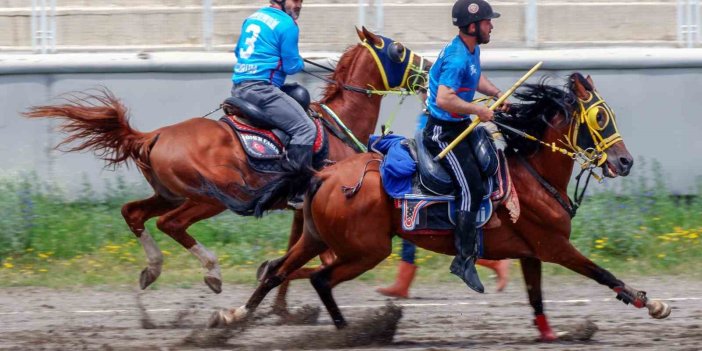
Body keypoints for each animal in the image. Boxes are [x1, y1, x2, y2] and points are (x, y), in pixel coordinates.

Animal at [23, 27, 428, 296]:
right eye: (398, 49)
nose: (428, 69)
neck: (336, 123)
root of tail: (154, 136)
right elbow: (313, 259)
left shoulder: (304, 212)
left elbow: (294, 254)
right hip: (210, 198)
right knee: (170, 224)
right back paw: (211, 271)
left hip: (168, 194)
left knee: (133, 213)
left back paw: (153, 269)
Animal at [212, 73, 672, 340]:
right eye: (600, 118)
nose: (625, 162)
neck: (532, 174)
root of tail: (324, 175)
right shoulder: (555, 247)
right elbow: (603, 273)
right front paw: (650, 303)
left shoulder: (531, 253)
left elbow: (537, 299)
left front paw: (551, 335)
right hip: (364, 250)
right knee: (321, 279)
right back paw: (349, 333)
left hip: (315, 237)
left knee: (277, 270)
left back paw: (234, 315)